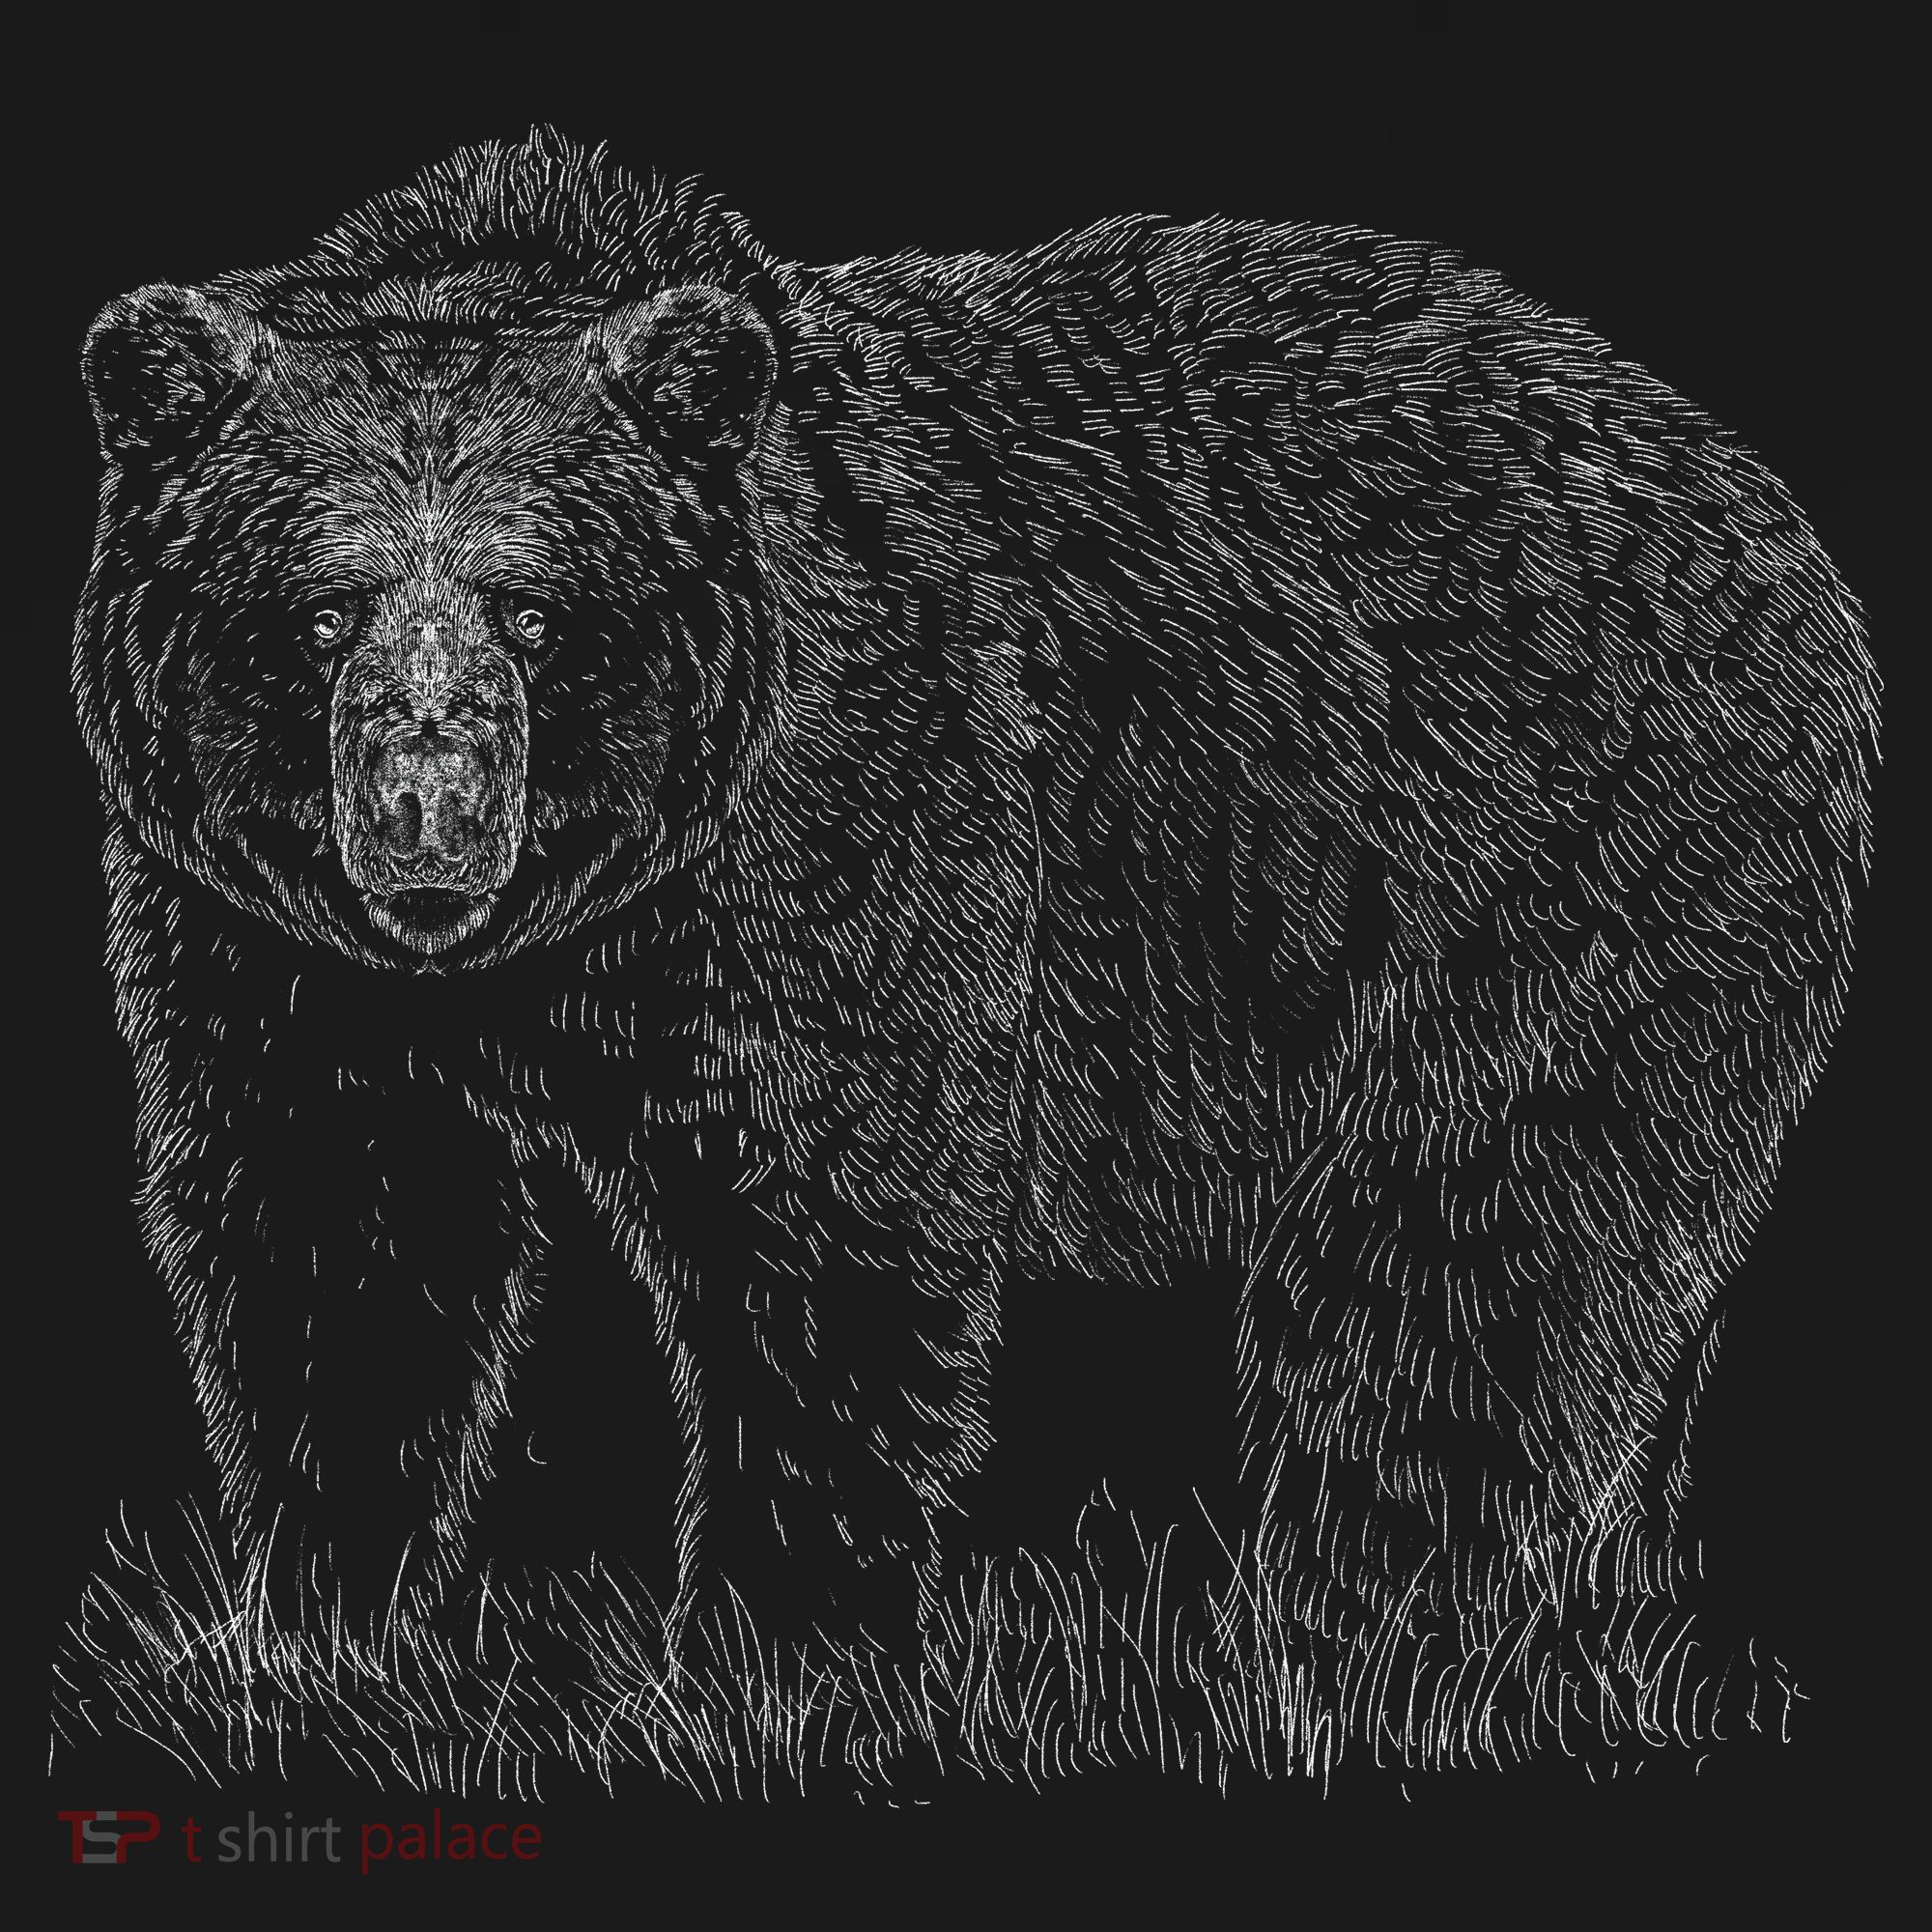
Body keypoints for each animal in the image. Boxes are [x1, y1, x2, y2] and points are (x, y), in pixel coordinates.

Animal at [73, 127, 1875, 1673]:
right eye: (323, 611)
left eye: (532, 612)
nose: (429, 822)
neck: (551, 948)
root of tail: (1769, 515)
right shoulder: (267, 941)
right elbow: (333, 1236)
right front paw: (318, 1619)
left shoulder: (840, 822)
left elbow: (828, 1231)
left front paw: (766, 1653)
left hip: (1547, 866)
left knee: (1467, 1266)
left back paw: (1356, 1627)